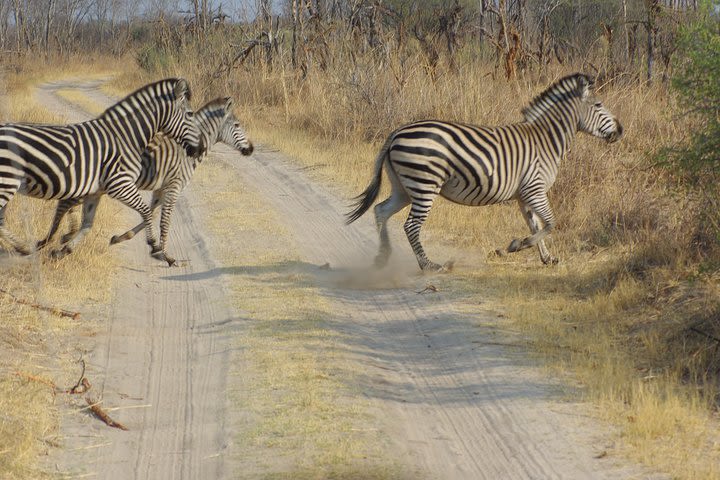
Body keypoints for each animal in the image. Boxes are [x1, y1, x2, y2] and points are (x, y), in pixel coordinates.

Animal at [0, 77, 202, 264]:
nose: (198, 150)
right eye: (190, 114)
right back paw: (24, 247)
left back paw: (23, 247)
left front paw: (62, 251)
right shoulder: (120, 184)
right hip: (7, 181)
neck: (126, 137)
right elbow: (145, 210)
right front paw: (154, 246)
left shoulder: (95, 191)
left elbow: (88, 224)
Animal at [38, 96, 256, 266]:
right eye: (237, 125)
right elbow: (164, 222)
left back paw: (63, 240)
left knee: (68, 204)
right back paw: (53, 240)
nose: (251, 149)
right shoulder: (174, 187)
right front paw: (167, 256)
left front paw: (126, 240)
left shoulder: (161, 189)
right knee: (65, 203)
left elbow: (149, 215)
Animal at [346, 73, 620, 272]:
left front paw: (546, 258)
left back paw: (382, 258)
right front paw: (515, 246)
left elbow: (536, 225)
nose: (621, 130)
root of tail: (396, 132)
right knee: (411, 225)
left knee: (381, 211)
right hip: (424, 184)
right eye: (598, 105)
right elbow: (551, 223)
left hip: (404, 187)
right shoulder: (535, 189)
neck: (546, 140)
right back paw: (429, 265)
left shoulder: (525, 195)